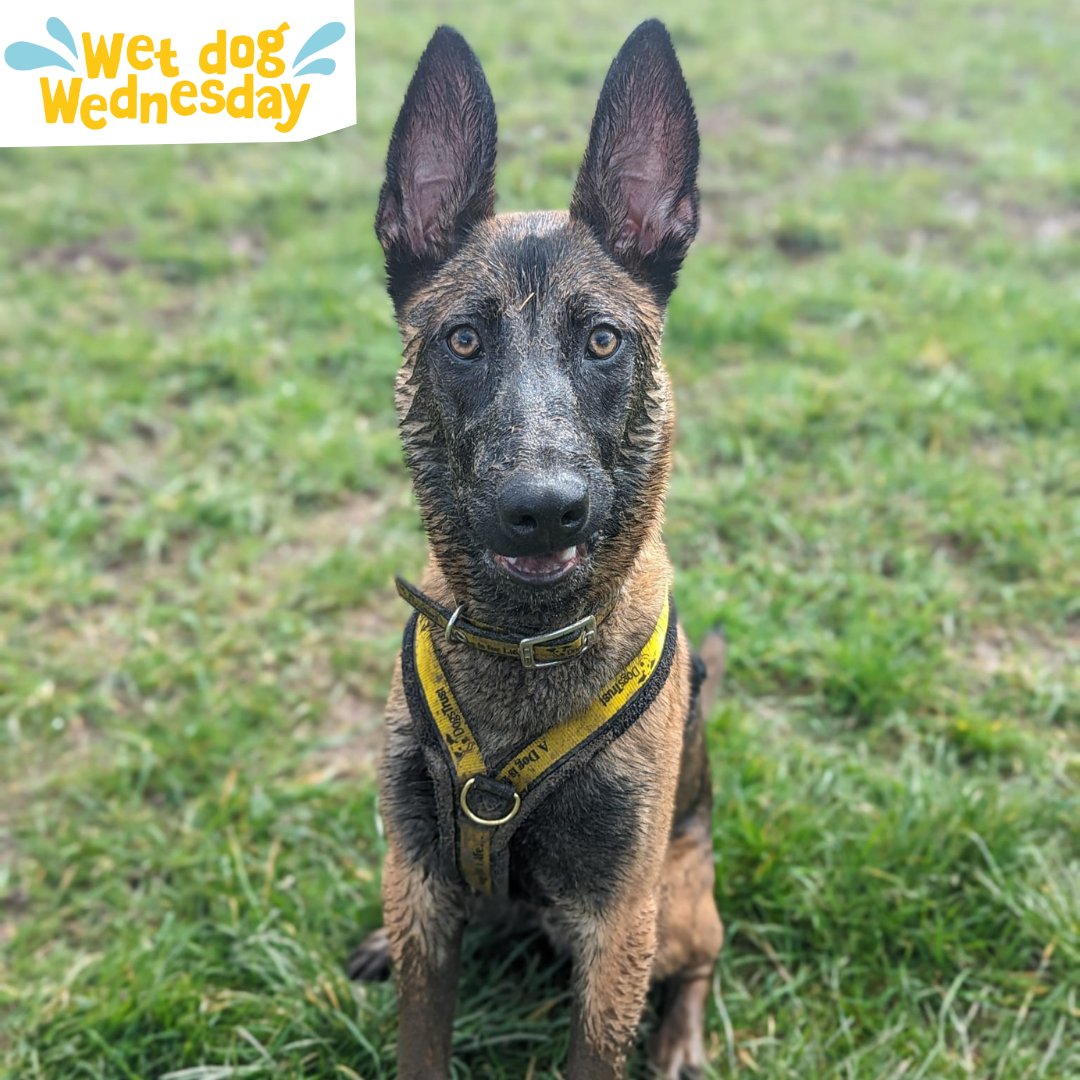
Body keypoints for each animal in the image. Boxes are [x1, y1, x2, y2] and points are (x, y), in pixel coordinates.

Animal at [352, 19, 725, 1080]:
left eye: (601, 341)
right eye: (463, 341)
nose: (544, 511)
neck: (524, 646)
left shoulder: (619, 929)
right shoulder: (424, 885)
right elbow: (421, 1040)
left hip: (679, 911)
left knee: (702, 962)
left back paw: (679, 1040)